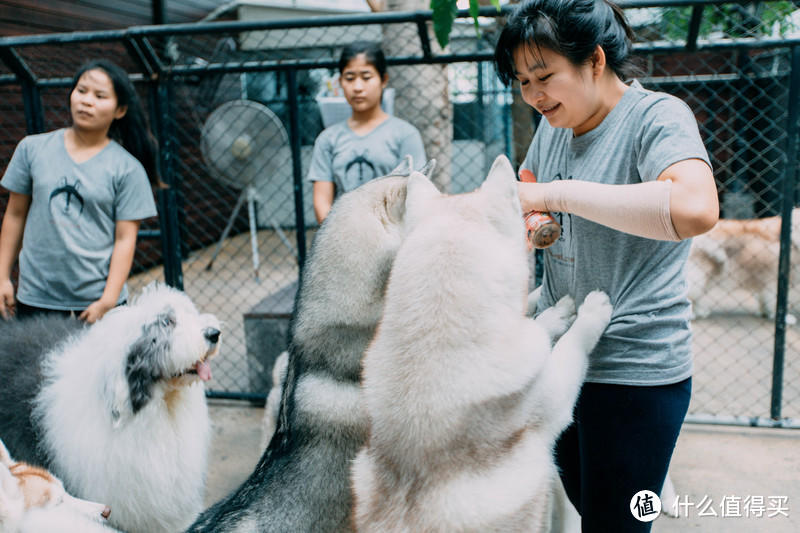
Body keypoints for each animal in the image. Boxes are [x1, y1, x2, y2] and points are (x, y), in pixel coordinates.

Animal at [352, 156, 612, 532]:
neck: (436, 342)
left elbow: (538, 328)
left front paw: (554, 313)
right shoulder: (554, 403)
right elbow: (571, 347)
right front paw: (591, 311)